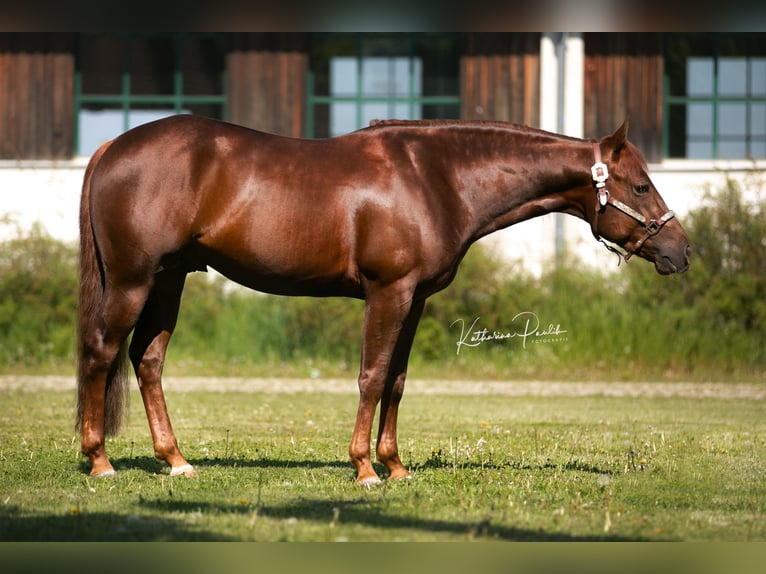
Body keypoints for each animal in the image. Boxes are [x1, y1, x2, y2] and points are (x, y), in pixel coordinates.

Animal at [76, 115, 690, 485]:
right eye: (640, 186)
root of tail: (112, 147)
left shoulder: (414, 299)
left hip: (169, 279)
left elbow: (396, 380)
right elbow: (371, 376)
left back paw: (177, 462)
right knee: (101, 353)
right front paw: (365, 469)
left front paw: (394, 467)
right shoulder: (387, 292)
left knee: (147, 360)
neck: (436, 178)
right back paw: (100, 461)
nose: (681, 251)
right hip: (133, 281)